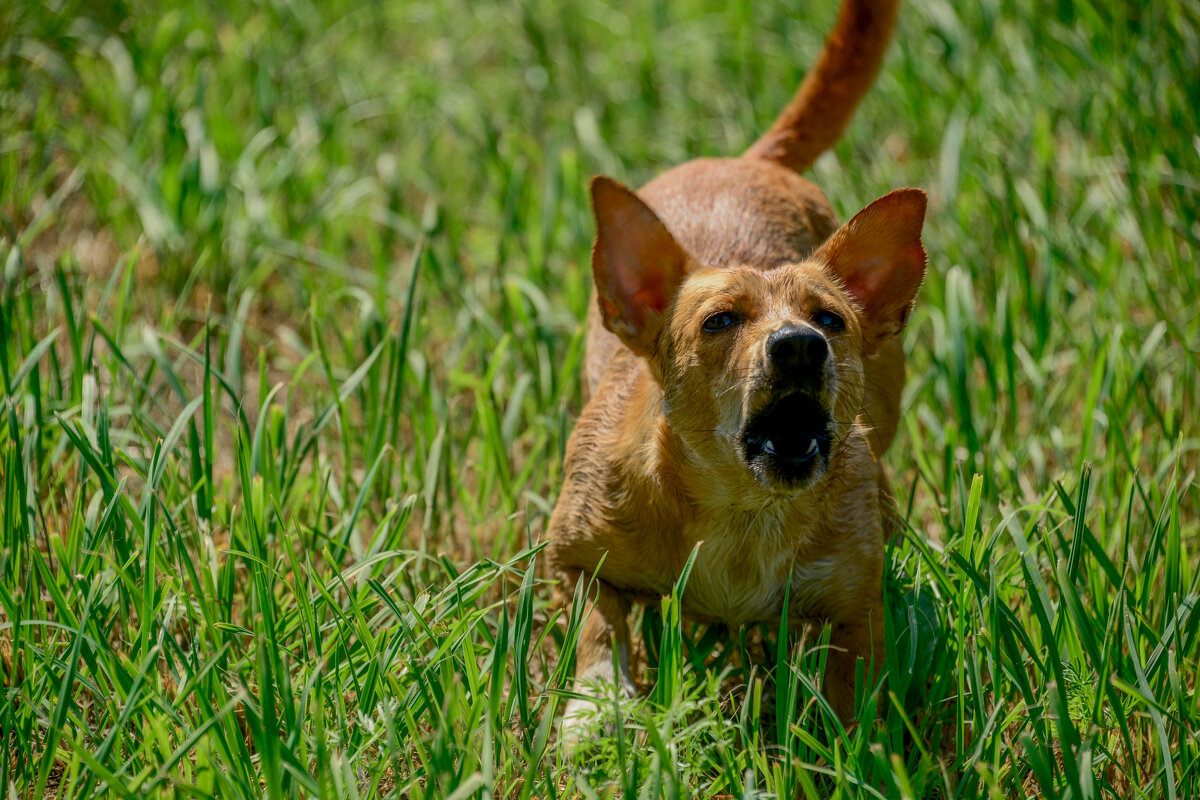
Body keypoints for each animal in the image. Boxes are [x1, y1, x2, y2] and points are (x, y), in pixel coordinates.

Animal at [549, 0, 921, 743]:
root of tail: (745, 160)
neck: (745, 515)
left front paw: (849, 745)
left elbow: (852, 675)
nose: (801, 345)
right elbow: (599, 626)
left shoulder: (857, 599)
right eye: (718, 322)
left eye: (830, 319)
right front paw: (595, 709)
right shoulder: (570, 552)